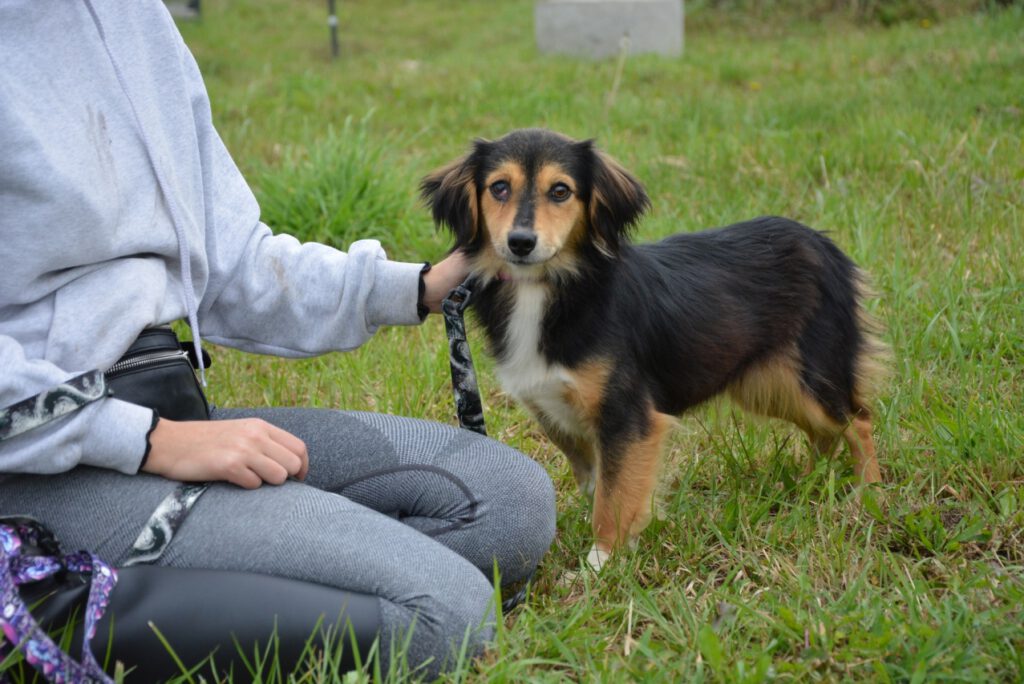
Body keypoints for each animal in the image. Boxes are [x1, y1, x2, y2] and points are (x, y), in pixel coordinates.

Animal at [419, 131, 884, 569]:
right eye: (499, 187)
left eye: (561, 191)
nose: (520, 242)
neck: (549, 287)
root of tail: (822, 242)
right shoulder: (552, 408)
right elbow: (600, 480)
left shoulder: (627, 414)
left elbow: (613, 495)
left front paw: (600, 563)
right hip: (767, 384)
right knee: (825, 433)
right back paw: (808, 483)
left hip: (810, 374)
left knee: (857, 422)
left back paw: (867, 495)